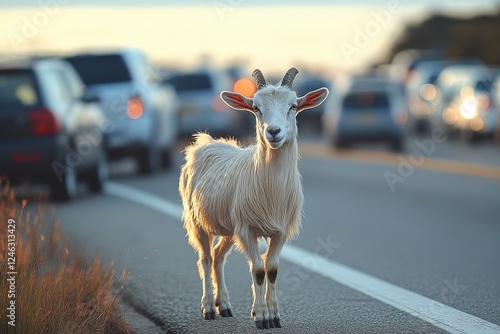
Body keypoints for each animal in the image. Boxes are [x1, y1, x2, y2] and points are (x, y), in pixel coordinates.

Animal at [179, 67, 328, 328]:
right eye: (256, 108)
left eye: (293, 106)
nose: (273, 131)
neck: (271, 189)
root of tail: (205, 143)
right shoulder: (247, 230)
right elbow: (258, 270)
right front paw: (261, 316)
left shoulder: (279, 231)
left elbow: (272, 269)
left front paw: (274, 315)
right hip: (198, 222)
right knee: (205, 259)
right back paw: (208, 308)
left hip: (229, 227)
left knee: (218, 257)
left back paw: (224, 305)